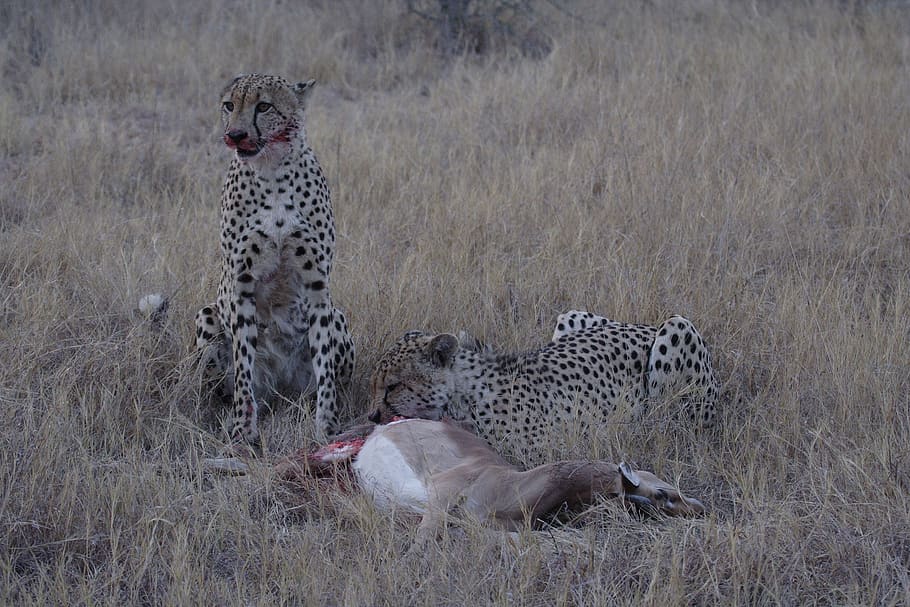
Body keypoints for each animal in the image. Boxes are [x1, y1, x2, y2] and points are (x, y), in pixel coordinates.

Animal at [194, 74, 354, 445]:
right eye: (229, 105)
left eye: (264, 106)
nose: (235, 134)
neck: (271, 171)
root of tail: (280, 388)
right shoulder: (240, 283)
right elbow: (243, 366)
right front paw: (242, 429)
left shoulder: (316, 286)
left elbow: (325, 368)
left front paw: (327, 427)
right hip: (207, 315)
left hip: (337, 316)